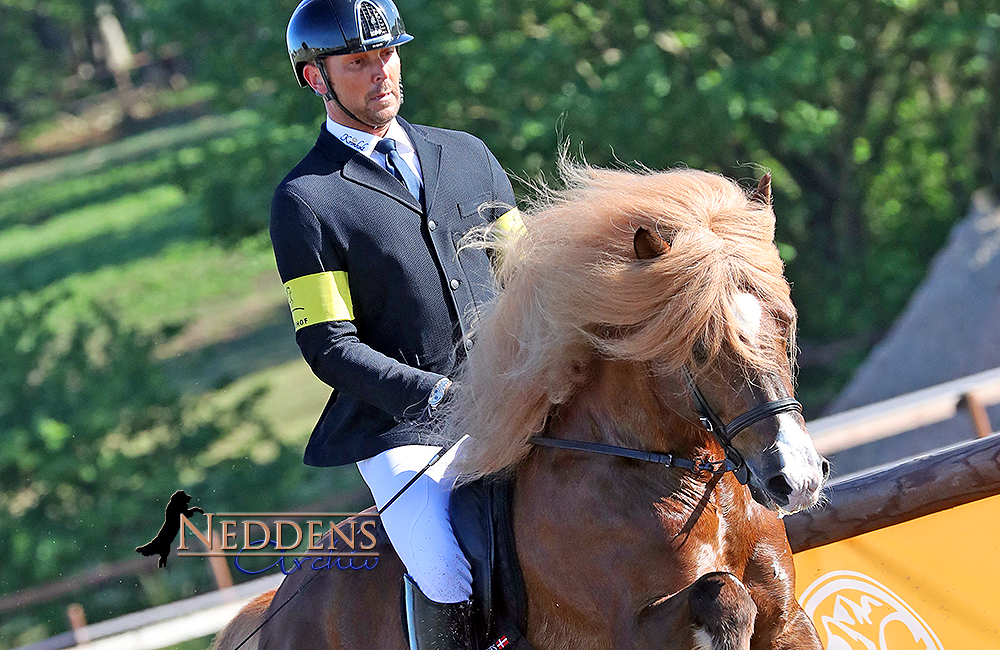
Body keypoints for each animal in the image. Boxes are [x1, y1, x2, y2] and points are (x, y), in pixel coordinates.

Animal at [213, 165, 828, 644]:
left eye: (784, 321)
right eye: (699, 346)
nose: (795, 478)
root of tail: (276, 606)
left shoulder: (788, 621)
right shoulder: (631, 630)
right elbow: (723, 596)